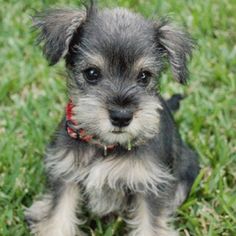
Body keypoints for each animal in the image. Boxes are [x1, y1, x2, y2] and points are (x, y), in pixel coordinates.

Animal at [25, 2, 199, 236]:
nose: (121, 116)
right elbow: (57, 218)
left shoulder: (149, 185)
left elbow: (150, 224)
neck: (106, 145)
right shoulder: (66, 174)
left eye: (144, 76)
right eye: (91, 73)